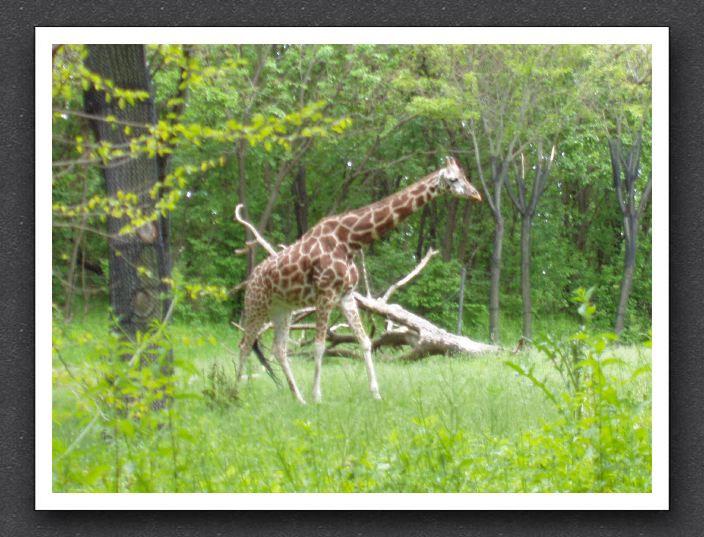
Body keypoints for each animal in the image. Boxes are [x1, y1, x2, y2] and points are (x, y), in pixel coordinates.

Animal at [236, 156, 482, 403]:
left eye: (465, 176)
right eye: (453, 179)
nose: (476, 195)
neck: (350, 241)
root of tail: (250, 280)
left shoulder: (345, 295)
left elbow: (364, 341)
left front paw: (375, 393)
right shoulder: (325, 294)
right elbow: (319, 346)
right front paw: (317, 396)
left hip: (282, 310)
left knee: (278, 348)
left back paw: (298, 399)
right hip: (257, 306)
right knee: (245, 344)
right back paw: (235, 393)